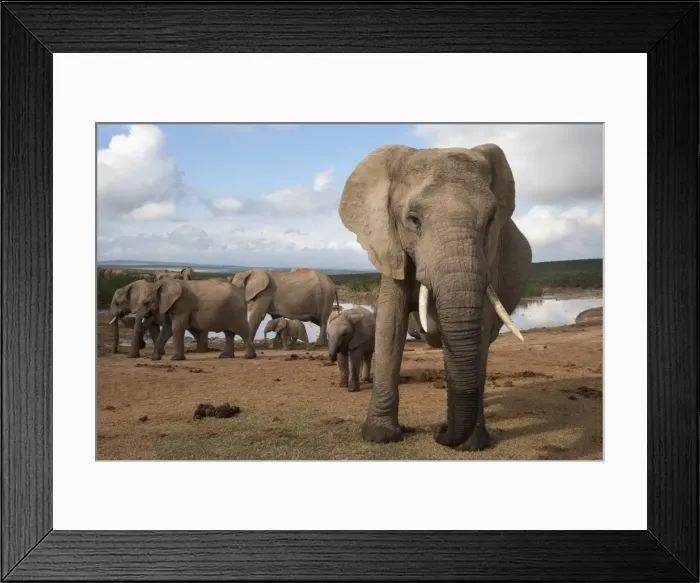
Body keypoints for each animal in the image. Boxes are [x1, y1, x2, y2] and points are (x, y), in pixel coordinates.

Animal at [338, 143, 532, 450]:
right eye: (413, 220)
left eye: (491, 220)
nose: (439, 431)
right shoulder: (390, 245)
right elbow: (391, 325)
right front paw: (380, 436)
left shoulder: (491, 258)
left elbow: (479, 328)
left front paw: (471, 444)